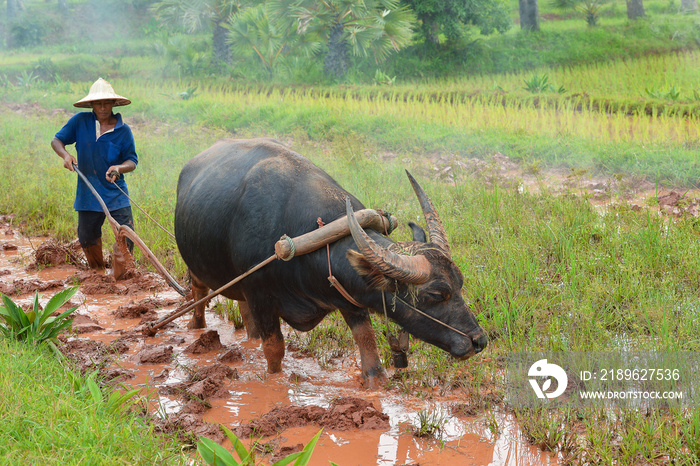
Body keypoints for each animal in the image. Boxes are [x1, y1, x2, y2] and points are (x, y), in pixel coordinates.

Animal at [176, 138, 486, 386]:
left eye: (460, 284)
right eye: (436, 294)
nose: (479, 341)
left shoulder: (350, 298)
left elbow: (369, 351)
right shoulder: (260, 295)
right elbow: (274, 350)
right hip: (198, 269)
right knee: (199, 295)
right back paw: (196, 328)